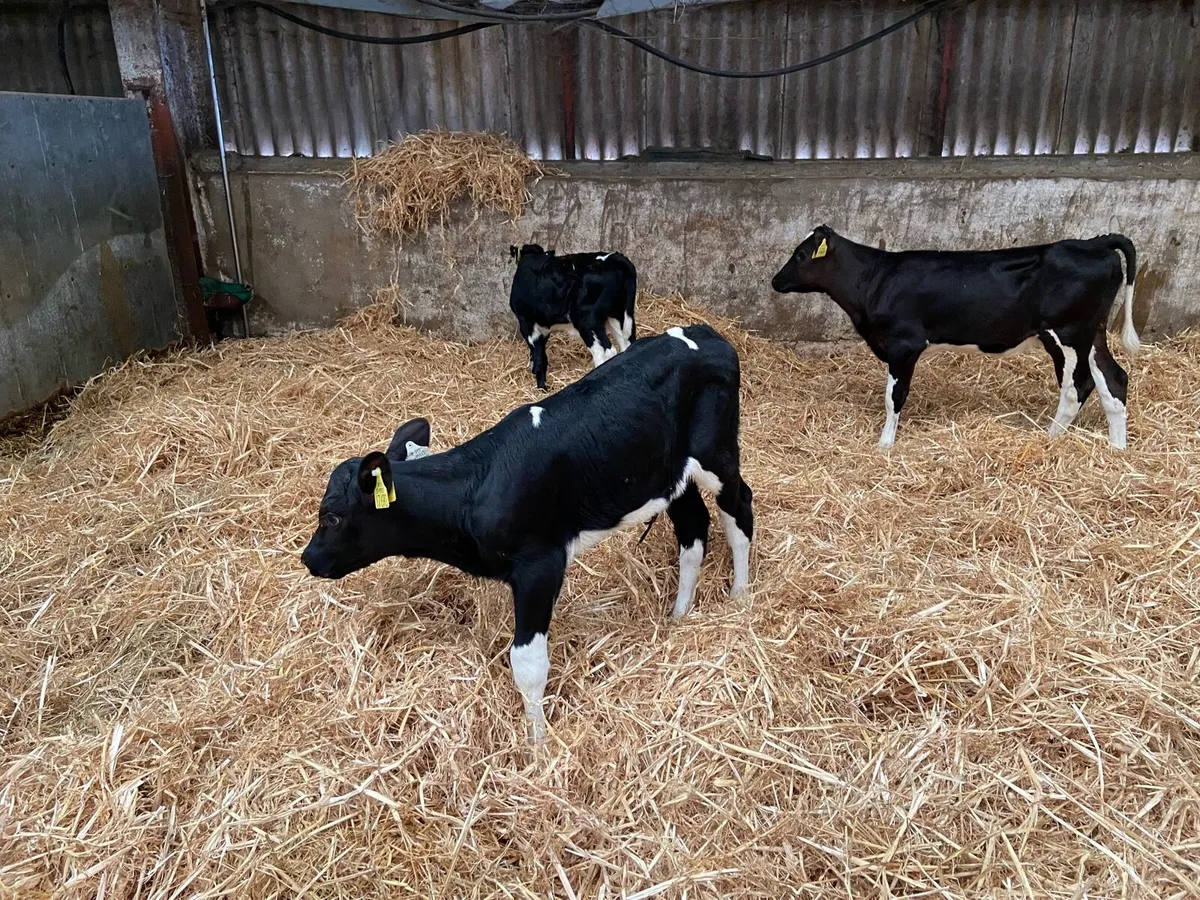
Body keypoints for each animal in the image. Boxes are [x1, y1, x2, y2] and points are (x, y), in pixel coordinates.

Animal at [301, 324, 754, 741]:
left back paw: (740, 594)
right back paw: (680, 613)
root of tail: (703, 332)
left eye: (333, 517)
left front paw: (537, 742)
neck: (473, 489)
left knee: (739, 510)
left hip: (718, 456)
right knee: (693, 529)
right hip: (669, 477)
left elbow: (528, 663)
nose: (308, 558)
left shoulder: (540, 566)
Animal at [508, 243, 638, 390]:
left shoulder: (527, 323)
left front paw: (541, 387)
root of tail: (615, 259)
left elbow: (538, 355)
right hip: (618, 316)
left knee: (605, 352)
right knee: (626, 344)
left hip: (587, 322)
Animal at [770, 226, 1140, 450]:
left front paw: (885, 443)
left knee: (1077, 387)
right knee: (1113, 380)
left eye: (800, 255)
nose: (775, 281)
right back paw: (1116, 448)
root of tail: (1093, 242)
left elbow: (894, 397)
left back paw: (1047, 439)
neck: (876, 279)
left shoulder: (904, 345)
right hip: (1092, 333)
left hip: (1066, 335)